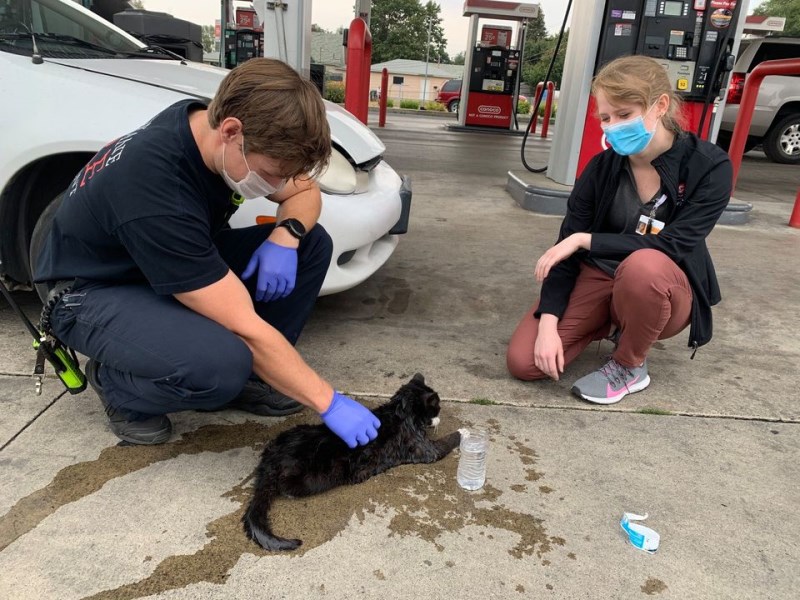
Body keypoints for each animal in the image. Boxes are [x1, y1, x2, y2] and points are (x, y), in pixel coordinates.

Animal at [241, 372, 460, 552]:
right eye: (437, 407)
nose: (439, 417)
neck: (400, 412)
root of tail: (271, 460)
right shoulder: (425, 449)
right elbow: (448, 441)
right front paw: (463, 433)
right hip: (312, 479)